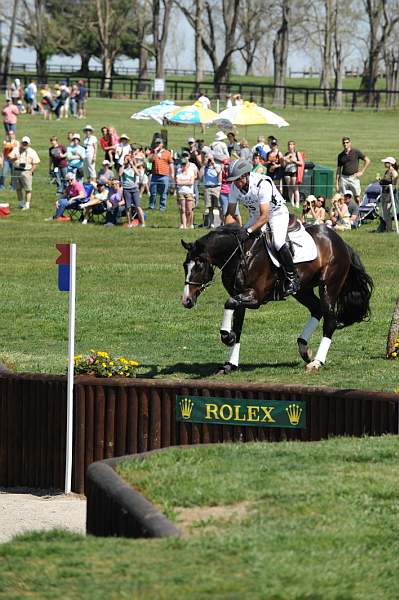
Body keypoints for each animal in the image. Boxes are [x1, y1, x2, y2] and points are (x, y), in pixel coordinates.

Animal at [182, 224, 376, 372]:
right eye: (185, 266)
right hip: (303, 290)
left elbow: (228, 305)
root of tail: (339, 241)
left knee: (330, 321)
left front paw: (226, 336)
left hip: (328, 286)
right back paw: (304, 348)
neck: (239, 256)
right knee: (317, 309)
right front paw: (230, 363)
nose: (186, 301)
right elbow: (237, 327)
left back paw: (316, 362)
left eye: (198, 266)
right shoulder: (240, 298)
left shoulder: (254, 297)